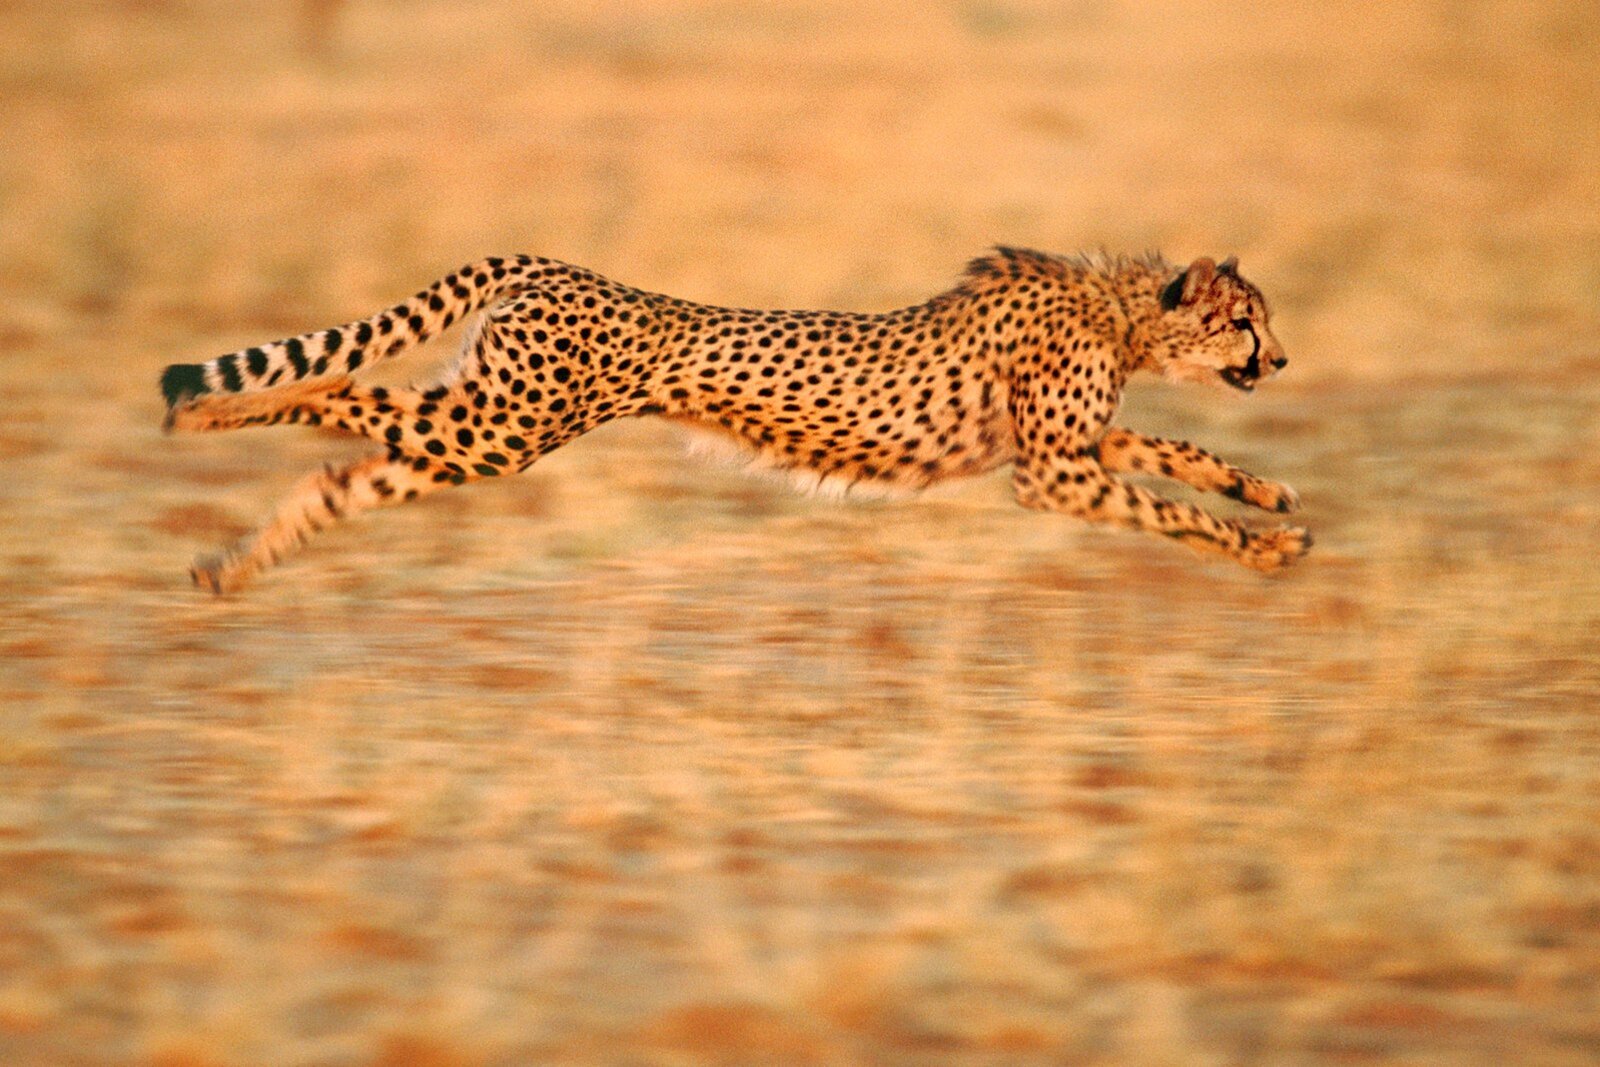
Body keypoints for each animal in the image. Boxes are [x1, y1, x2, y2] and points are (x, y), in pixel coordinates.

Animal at [159, 248, 1310, 593]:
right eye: (1245, 319)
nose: (1283, 358)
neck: (1123, 306)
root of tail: (550, 264)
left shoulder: (1074, 445)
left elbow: (1179, 452)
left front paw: (1272, 499)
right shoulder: (1051, 470)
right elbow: (1169, 508)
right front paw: (1258, 546)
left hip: (477, 425)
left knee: (339, 473)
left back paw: (225, 567)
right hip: (505, 424)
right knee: (329, 394)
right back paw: (206, 413)